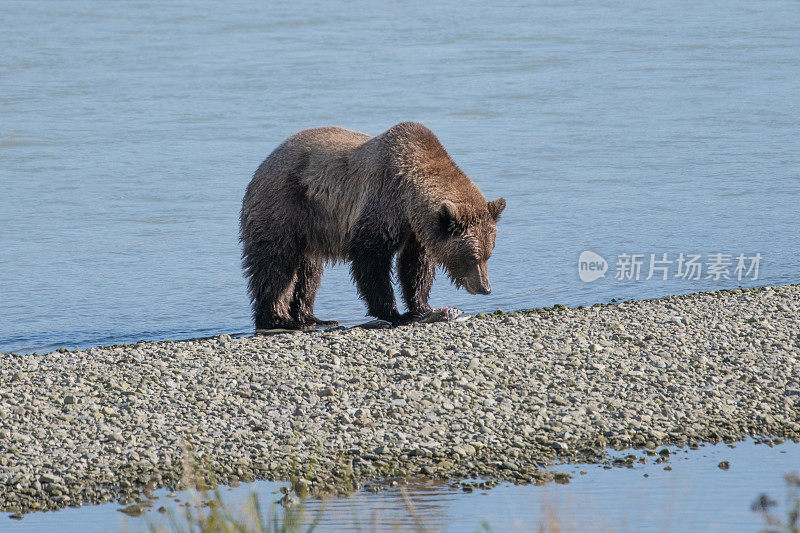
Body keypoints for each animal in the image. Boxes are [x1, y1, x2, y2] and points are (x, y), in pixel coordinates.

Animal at [241, 121, 506, 328]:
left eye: (488, 254)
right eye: (472, 257)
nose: (485, 288)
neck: (409, 200)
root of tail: (263, 164)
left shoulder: (415, 231)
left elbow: (415, 267)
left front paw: (423, 306)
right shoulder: (383, 200)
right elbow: (371, 257)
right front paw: (396, 313)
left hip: (311, 229)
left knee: (309, 271)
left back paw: (311, 317)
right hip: (284, 208)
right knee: (276, 265)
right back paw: (279, 319)